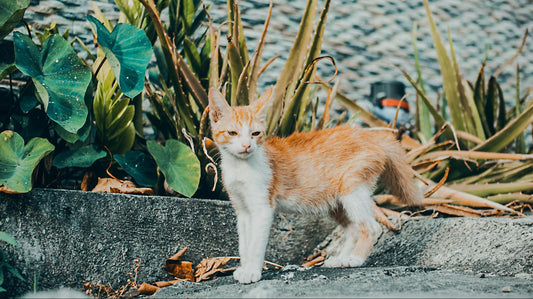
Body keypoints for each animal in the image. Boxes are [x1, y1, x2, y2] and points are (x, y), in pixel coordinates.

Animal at [207, 86, 420, 284]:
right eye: (232, 132)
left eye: (255, 133)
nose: (246, 146)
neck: (241, 166)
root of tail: (371, 136)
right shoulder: (242, 210)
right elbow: (244, 244)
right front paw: (244, 267)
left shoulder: (262, 208)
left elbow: (256, 244)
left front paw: (252, 272)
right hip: (336, 201)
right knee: (352, 228)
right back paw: (341, 259)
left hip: (352, 190)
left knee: (371, 227)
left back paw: (355, 259)